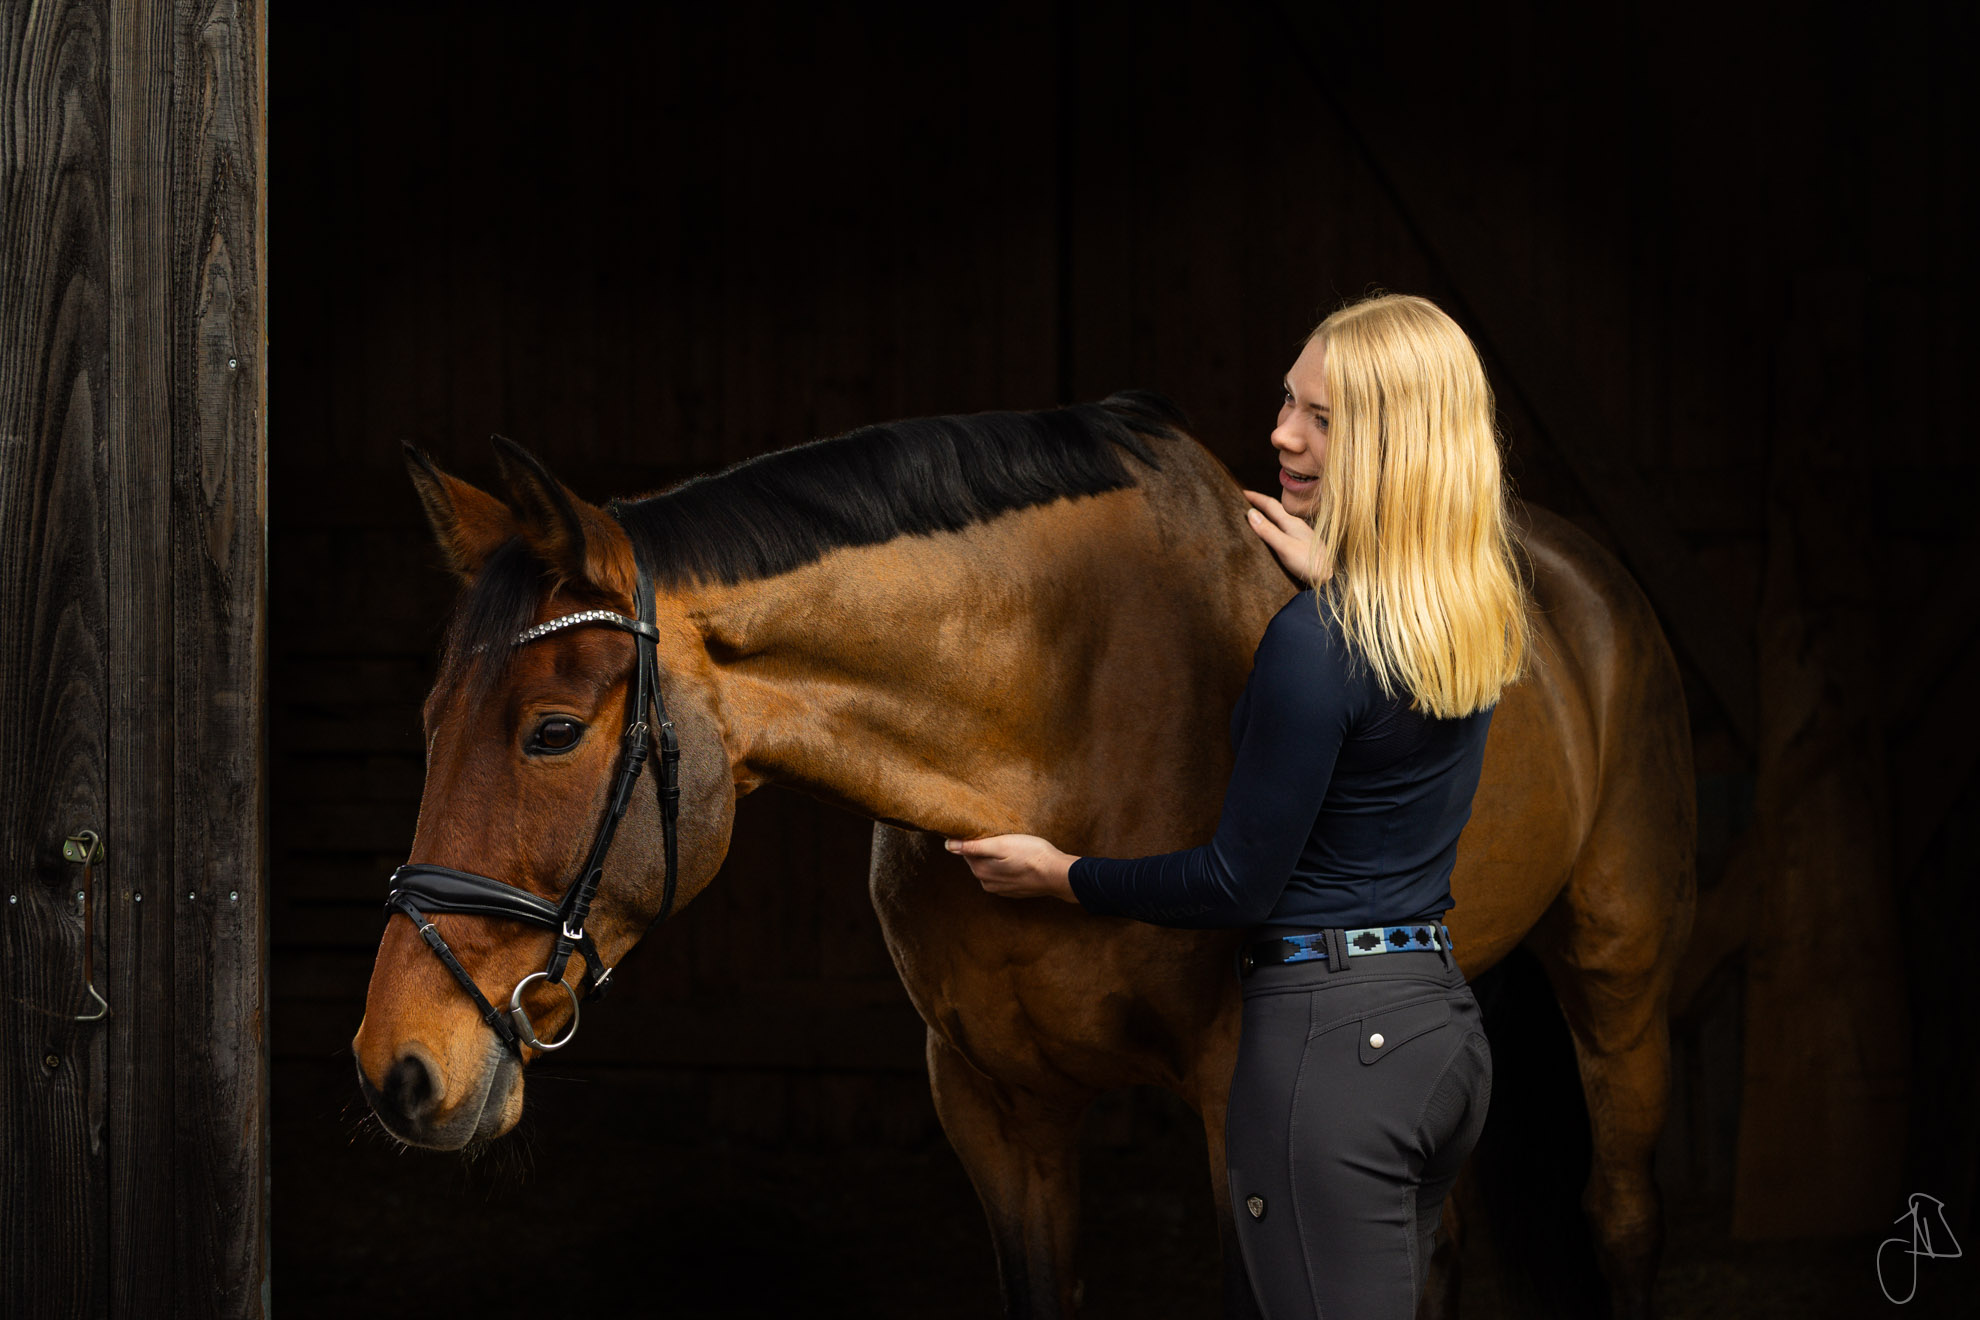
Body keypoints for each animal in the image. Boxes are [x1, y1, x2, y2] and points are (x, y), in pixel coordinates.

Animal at [352, 392, 1694, 1320]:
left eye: (552, 731)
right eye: (428, 722)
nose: (396, 1070)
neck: (1060, 715)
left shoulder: (1236, 1105)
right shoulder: (994, 1103)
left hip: (1619, 982)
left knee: (1624, 1214)